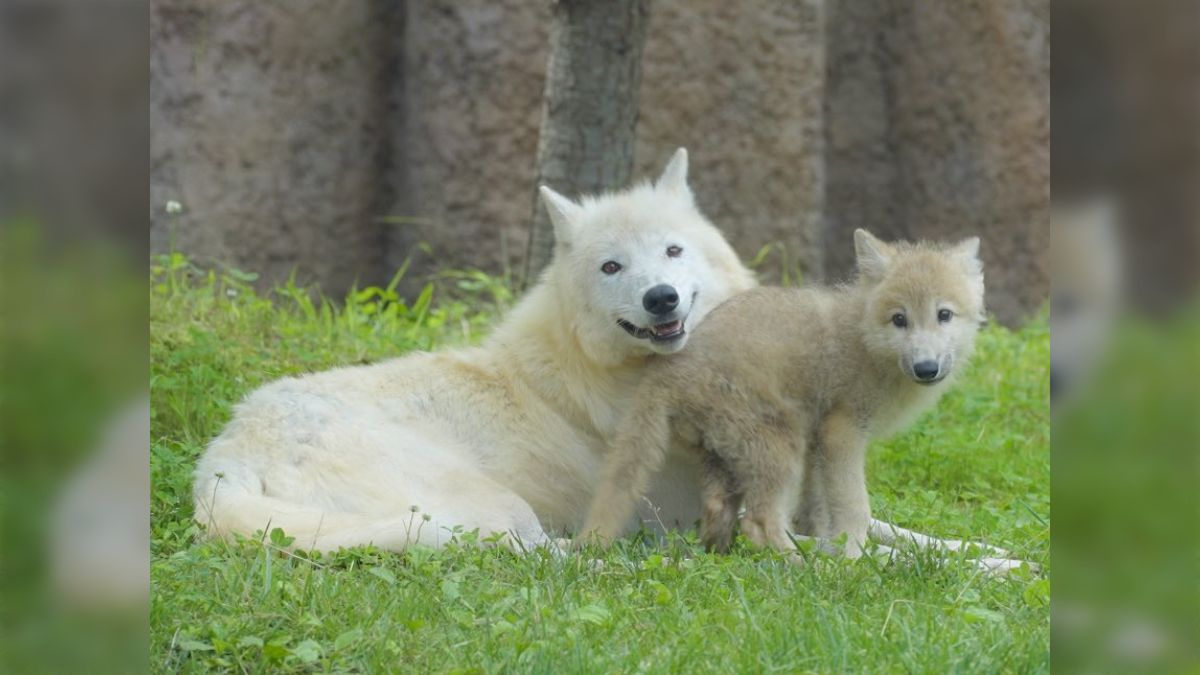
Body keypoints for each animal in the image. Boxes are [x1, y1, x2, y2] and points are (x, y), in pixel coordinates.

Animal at [194, 147, 1022, 566]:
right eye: (612, 266)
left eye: (673, 250)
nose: (661, 298)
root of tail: (226, 454)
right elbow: (874, 555)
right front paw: (987, 569)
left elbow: (907, 532)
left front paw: (994, 550)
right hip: (498, 512)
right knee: (546, 561)